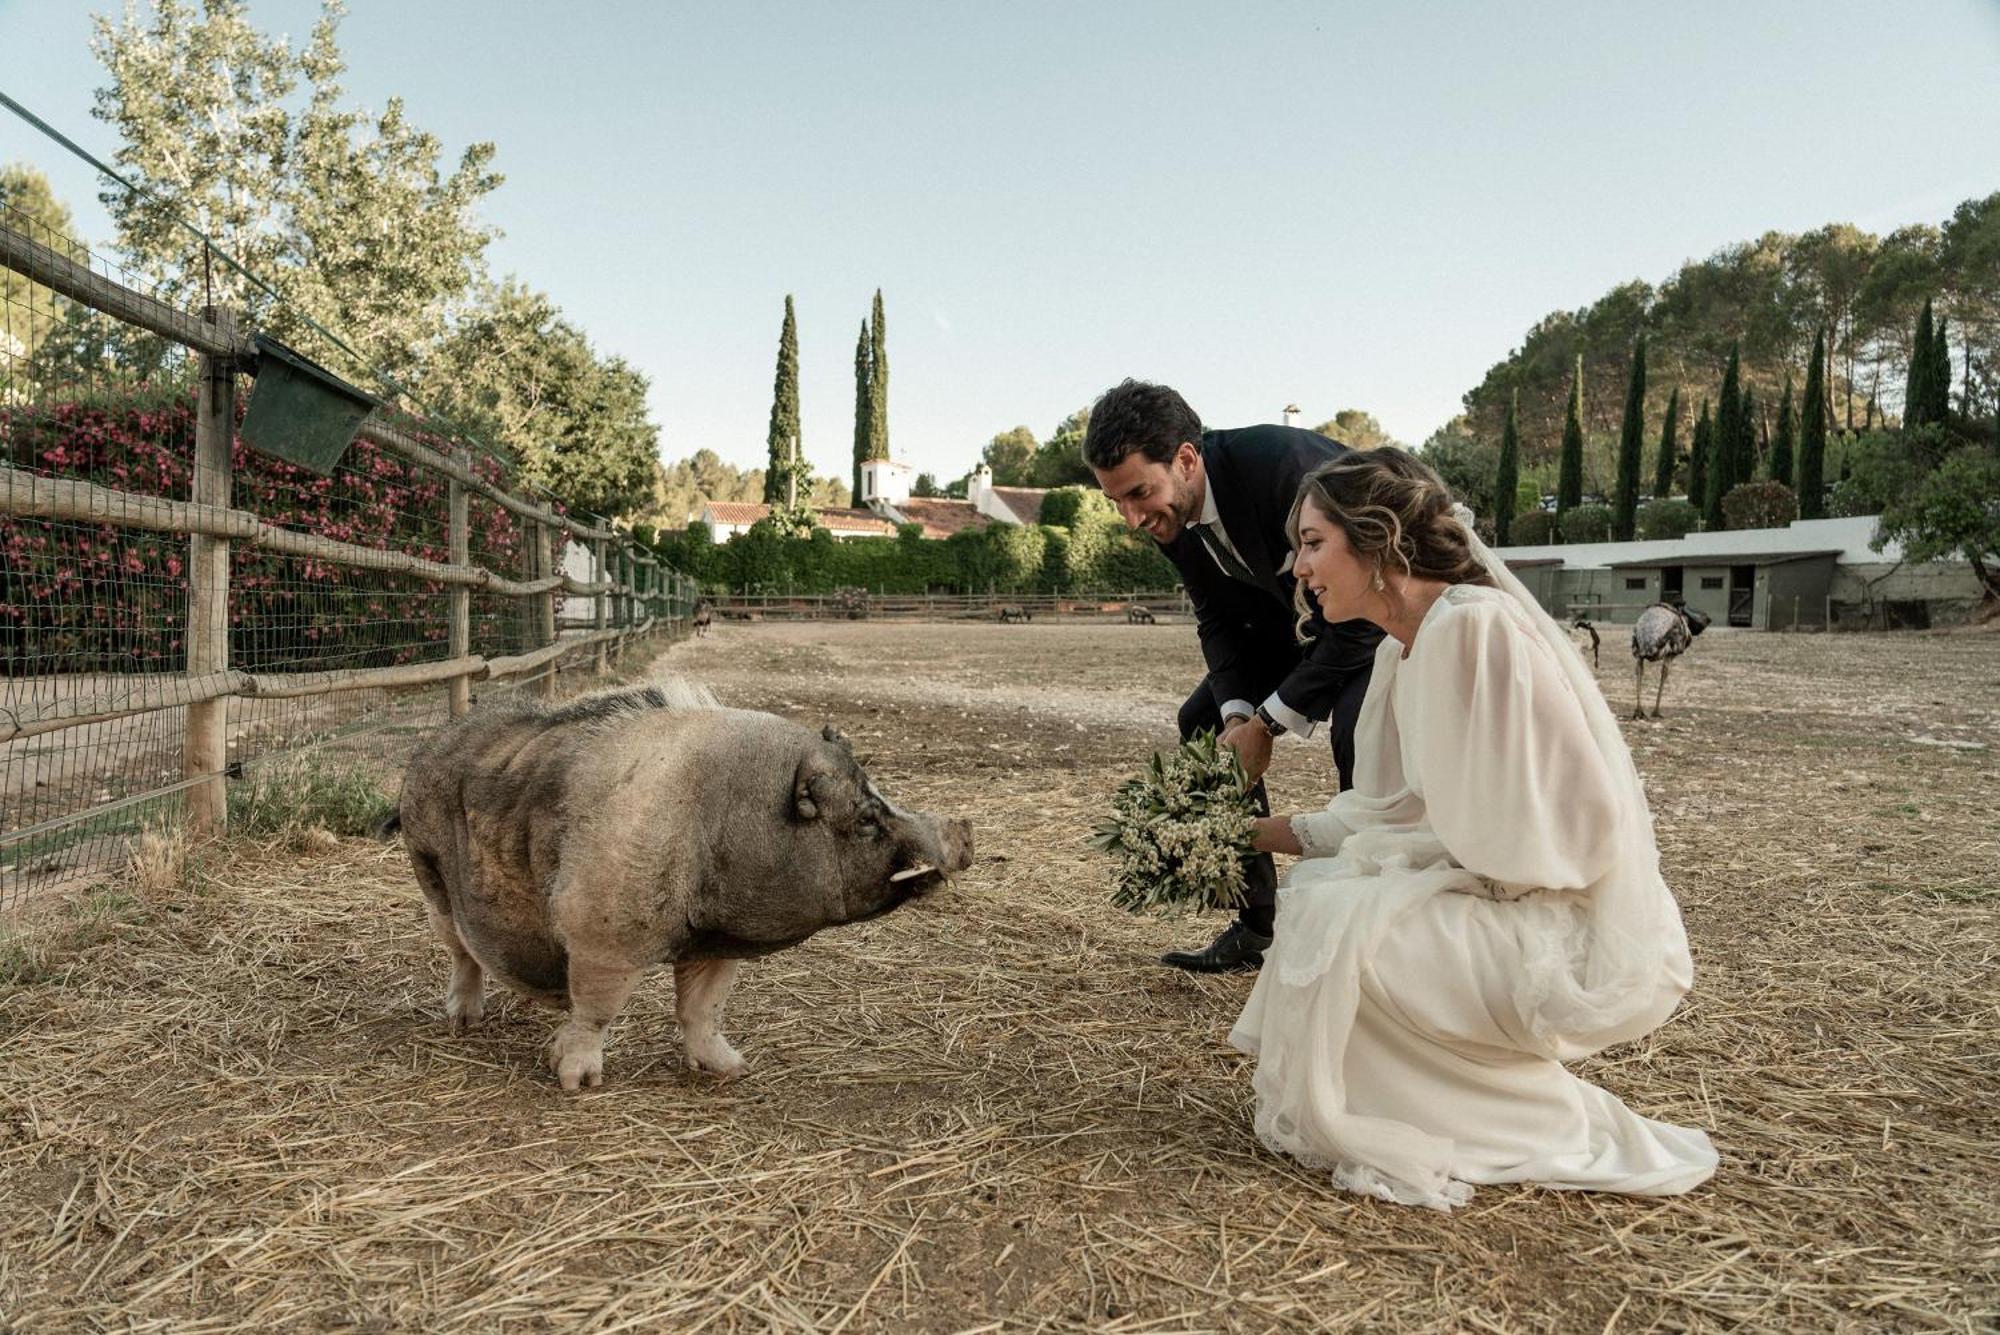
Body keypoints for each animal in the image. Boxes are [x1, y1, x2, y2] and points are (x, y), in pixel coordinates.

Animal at [384, 683, 976, 1087]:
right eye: (866, 820)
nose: (963, 830)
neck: (726, 821)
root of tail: (430, 744)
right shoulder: (602, 937)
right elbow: (597, 1010)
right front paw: (578, 1082)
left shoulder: (718, 942)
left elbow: (702, 1009)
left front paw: (733, 1069)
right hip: (428, 872)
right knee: (461, 952)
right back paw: (464, 1023)